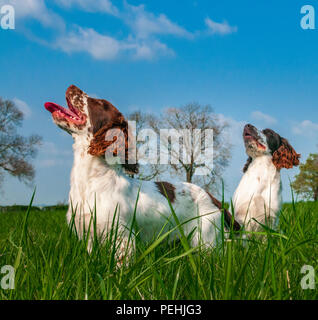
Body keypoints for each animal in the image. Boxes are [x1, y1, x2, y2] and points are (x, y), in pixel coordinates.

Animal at [44, 85, 238, 260]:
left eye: (99, 103)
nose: (71, 86)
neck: (92, 180)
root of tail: (213, 199)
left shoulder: (122, 236)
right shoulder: (90, 238)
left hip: (207, 241)